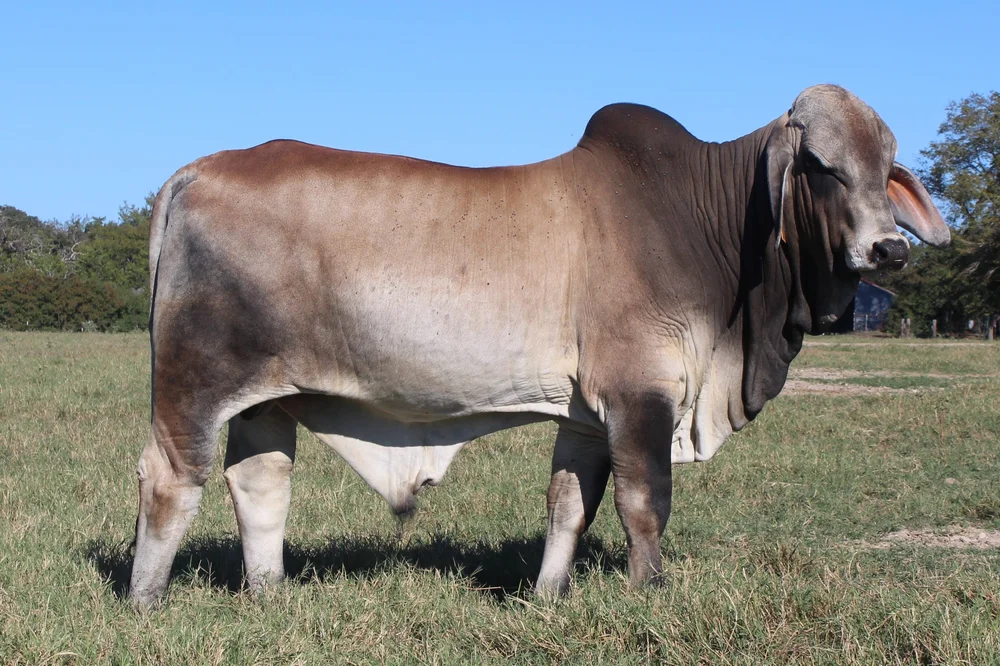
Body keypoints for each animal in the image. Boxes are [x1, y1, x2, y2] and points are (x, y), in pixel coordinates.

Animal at [130, 85, 949, 606]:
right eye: (822, 166)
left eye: (884, 169)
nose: (889, 250)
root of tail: (192, 172)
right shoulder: (641, 394)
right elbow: (644, 502)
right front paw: (649, 592)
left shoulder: (586, 413)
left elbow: (569, 506)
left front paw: (550, 594)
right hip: (195, 381)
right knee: (170, 480)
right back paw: (147, 601)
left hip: (269, 398)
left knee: (259, 483)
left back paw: (269, 595)